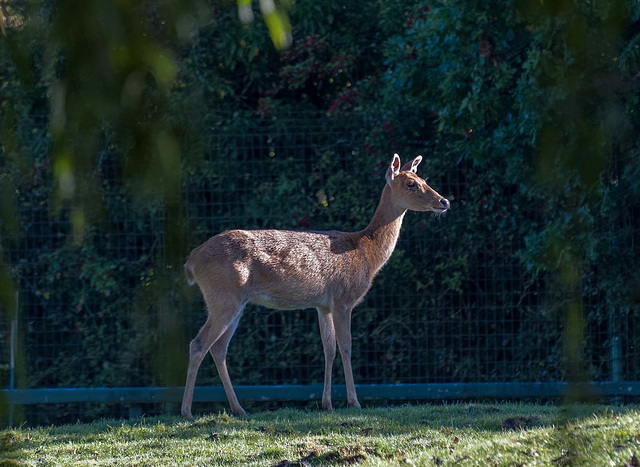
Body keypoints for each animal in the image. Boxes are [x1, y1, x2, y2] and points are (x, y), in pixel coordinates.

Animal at [180, 154, 450, 420]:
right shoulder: (343, 299)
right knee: (199, 344)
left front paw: (327, 403)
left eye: (424, 179)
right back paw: (187, 411)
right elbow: (347, 348)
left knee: (218, 348)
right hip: (223, 296)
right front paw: (354, 402)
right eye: (411, 184)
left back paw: (238, 409)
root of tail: (192, 261)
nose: (444, 201)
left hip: (236, 302)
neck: (366, 253)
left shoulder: (323, 305)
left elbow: (328, 349)